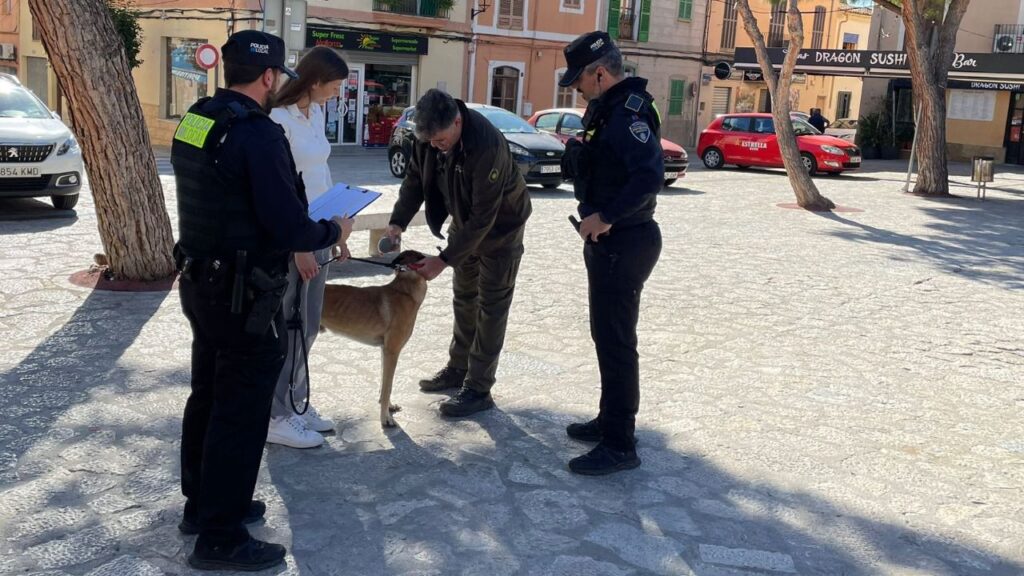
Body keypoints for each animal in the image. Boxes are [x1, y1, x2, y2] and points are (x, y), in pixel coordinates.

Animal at [319, 250, 428, 428]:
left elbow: (385, 385)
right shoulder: (392, 352)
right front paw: (386, 419)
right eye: (420, 257)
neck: (405, 291)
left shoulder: (385, 351)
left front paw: (389, 407)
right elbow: (387, 387)